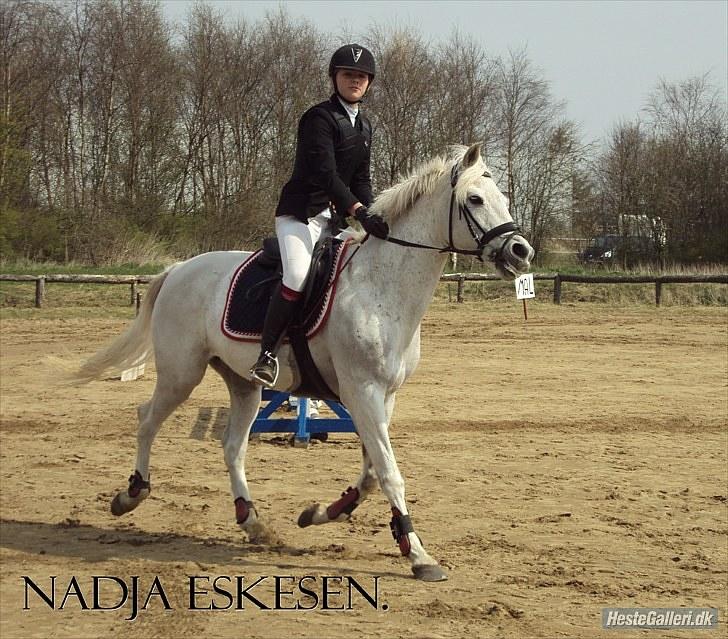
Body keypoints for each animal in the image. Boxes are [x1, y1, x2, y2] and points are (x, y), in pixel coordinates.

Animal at [73, 143, 534, 582]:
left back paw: (252, 521)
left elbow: (371, 473)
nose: (520, 251)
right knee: (147, 418)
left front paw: (321, 513)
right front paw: (418, 554)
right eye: (475, 199)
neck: (383, 285)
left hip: (244, 384)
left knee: (232, 446)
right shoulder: (362, 391)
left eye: (504, 197)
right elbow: (389, 472)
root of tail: (180, 268)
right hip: (181, 374)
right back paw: (131, 494)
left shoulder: (383, 396)